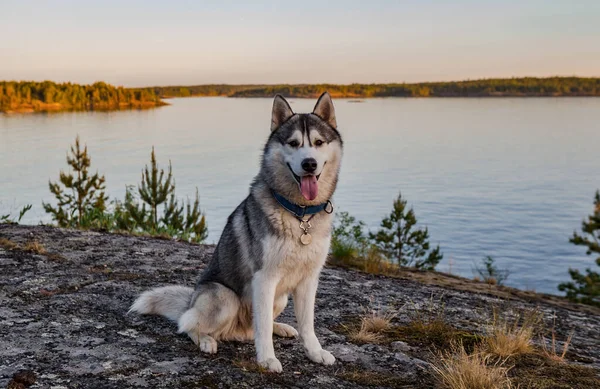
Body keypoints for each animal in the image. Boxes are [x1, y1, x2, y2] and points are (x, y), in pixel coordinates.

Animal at [130, 92, 342, 372]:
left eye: (318, 142)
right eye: (294, 143)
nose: (309, 164)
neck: (300, 214)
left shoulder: (308, 280)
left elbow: (307, 325)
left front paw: (315, 352)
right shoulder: (264, 279)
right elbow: (262, 328)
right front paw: (267, 359)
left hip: (280, 298)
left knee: (255, 326)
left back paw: (281, 327)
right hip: (224, 298)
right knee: (188, 323)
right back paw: (206, 340)